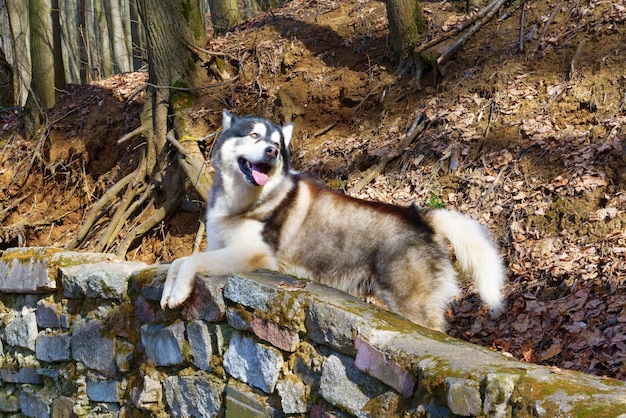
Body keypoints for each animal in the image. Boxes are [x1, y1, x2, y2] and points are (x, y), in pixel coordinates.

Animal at [158, 109, 504, 332]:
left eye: (276, 144)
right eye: (254, 135)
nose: (271, 151)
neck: (245, 201)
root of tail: (421, 216)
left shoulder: (254, 255)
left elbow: (191, 261)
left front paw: (178, 292)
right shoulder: (217, 246)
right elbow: (178, 261)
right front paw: (167, 293)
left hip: (412, 307)